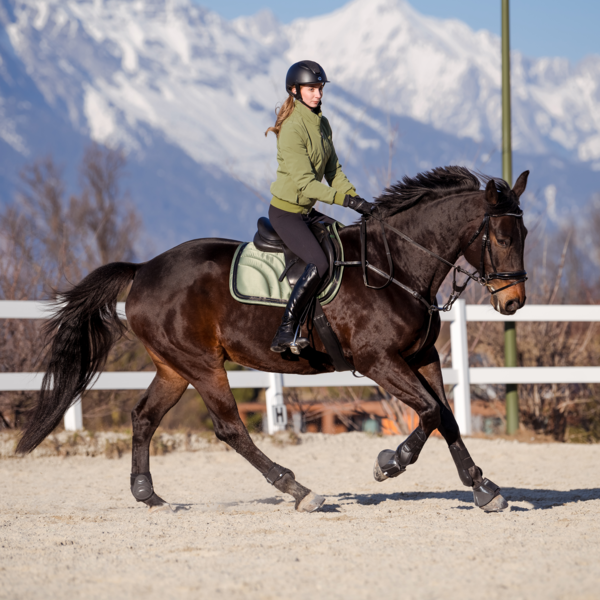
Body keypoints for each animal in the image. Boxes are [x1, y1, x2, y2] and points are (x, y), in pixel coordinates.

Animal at [15, 166, 528, 512]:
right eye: (502, 237)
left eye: (523, 233)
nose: (514, 302)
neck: (394, 265)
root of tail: (143, 270)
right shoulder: (378, 360)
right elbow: (429, 412)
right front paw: (390, 462)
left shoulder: (421, 357)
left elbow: (446, 416)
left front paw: (482, 487)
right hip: (203, 364)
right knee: (230, 429)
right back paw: (297, 489)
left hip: (174, 367)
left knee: (143, 418)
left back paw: (149, 494)